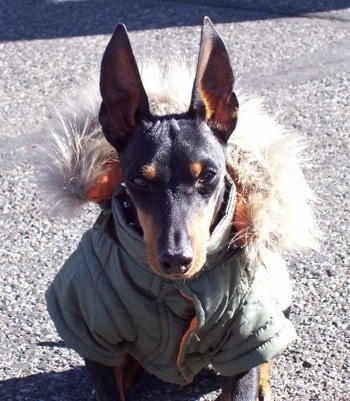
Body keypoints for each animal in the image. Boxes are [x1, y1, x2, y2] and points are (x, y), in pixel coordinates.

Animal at [39, 16, 318, 400]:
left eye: (209, 176)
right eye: (138, 181)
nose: (176, 260)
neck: (174, 290)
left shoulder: (245, 339)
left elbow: (247, 372)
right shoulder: (95, 338)